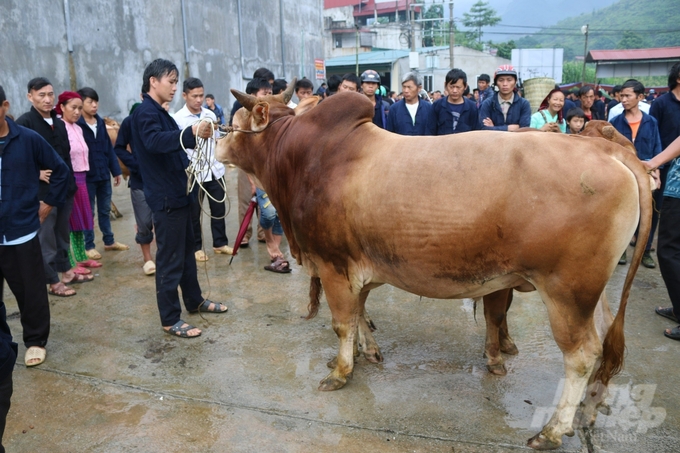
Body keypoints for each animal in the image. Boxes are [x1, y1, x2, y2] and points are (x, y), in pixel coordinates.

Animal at [216, 85, 652, 448]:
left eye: (236, 120)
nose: (215, 139)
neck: (300, 155)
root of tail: (610, 151)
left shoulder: (333, 265)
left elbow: (342, 321)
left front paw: (339, 371)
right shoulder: (361, 266)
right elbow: (359, 315)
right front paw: (366, 352)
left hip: (567, 293)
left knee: (582, 355)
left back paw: (553, 430)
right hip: (591, 293)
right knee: (602, 343)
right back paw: (587, 411)